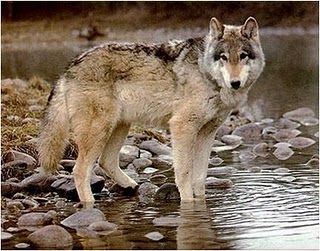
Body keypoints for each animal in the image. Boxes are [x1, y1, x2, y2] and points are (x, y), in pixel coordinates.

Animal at [37, 17, 264, 202]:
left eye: (243, 56)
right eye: (223, 57)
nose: (235, 83)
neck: (205, 73)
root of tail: (71, 66)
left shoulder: (207, 133)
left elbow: (200, 177)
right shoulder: (182, 127)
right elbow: (184, 174)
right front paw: (188, 203)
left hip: (120, 126)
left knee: (105, 162)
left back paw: (131, 186)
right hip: (98, 132)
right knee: (80, 171)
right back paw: (89, 205)